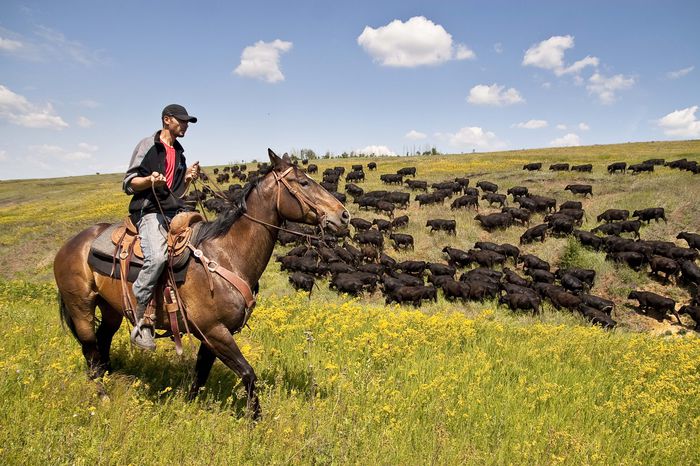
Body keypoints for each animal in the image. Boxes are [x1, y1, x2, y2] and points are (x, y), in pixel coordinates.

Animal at [54, 150, 350, 418]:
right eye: (303, 183)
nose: (343, 215)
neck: (226, 255)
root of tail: (70, 245)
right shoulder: (214, 330)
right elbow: (248, 373)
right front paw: (256, 421)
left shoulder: (213, 334)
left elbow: (200, 373)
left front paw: (189, 407)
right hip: (81, 308)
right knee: (90, 349)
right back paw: (102, 395)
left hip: (111, 309)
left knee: (103, 340)